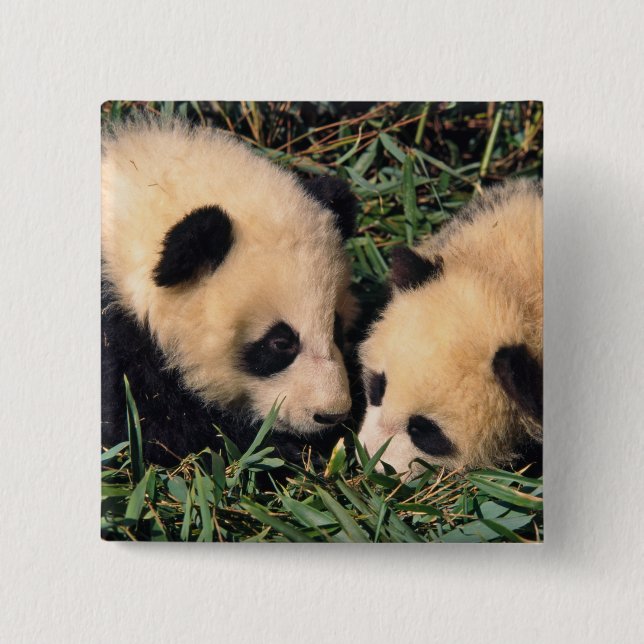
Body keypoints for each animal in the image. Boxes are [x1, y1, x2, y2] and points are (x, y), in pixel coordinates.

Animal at [101, 116, 359, 466]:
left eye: (336, 328)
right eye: (280, 343)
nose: (331, 414)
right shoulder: (117, 336)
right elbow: (154, 429)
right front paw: (282, 450)